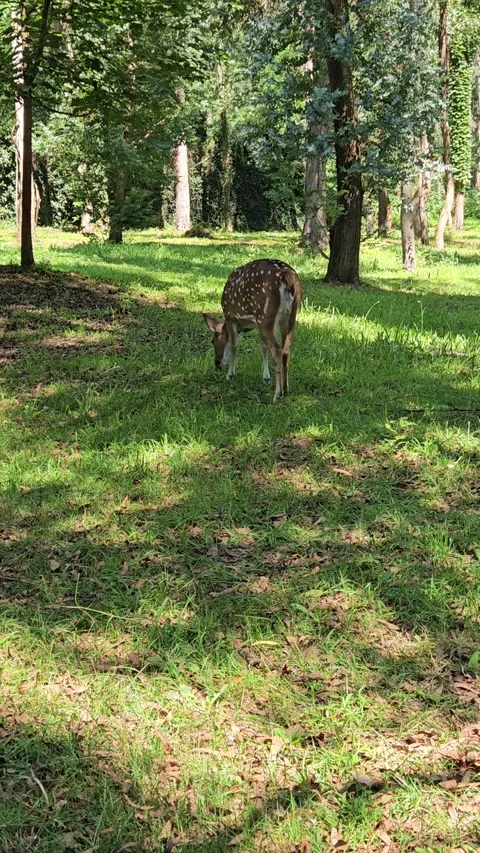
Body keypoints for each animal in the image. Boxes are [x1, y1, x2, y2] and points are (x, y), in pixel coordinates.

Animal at [203, 259, 302, 402]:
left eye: (212, 340)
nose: (217, 364)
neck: (243, 326)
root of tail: (288, 276)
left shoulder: (230, 316)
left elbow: (234, 345)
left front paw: (230, 374)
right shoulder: (258, 324)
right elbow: (263, 347)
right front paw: (266, 377)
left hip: (265, 315)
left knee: (277, 350)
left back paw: (276, 394)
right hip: (289, 316)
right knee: (285, 349)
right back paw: (285, 388)